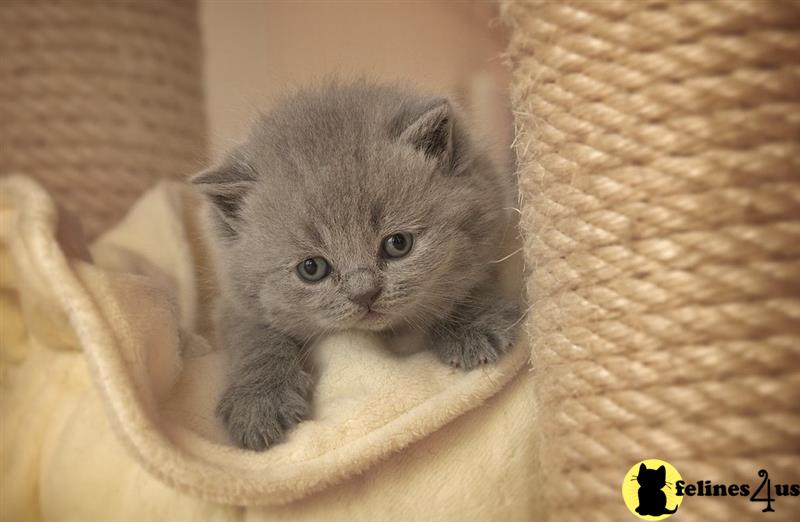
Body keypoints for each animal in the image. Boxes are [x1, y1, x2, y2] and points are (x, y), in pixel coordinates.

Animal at [194, 79, 520, 448]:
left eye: (398, 244)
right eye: (312, 268)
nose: (364, 294)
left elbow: (468, 282)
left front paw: (471, 327)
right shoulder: (235, 302)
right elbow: (255, 338)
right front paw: (259, 402)